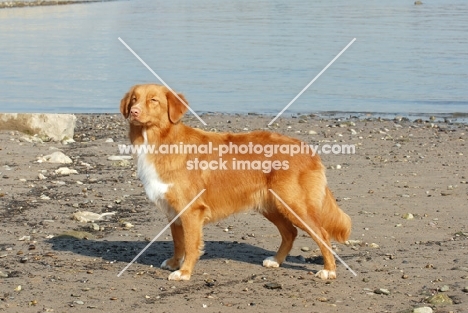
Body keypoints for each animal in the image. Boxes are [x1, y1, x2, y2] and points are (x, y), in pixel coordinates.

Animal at [120, 83, 352, 280]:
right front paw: (174, 263)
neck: (160, 141)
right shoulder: (173, 211)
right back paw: (276, 261)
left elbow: (191, 244)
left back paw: (329, 270)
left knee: (322, 234)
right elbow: (178, 242)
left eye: (153, 100)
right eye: (134, 99)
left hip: (295, 205)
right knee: (290, 232)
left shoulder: (191, 210)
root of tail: (308, 149)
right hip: (271, 205)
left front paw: (184, 272)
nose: (134, 112)